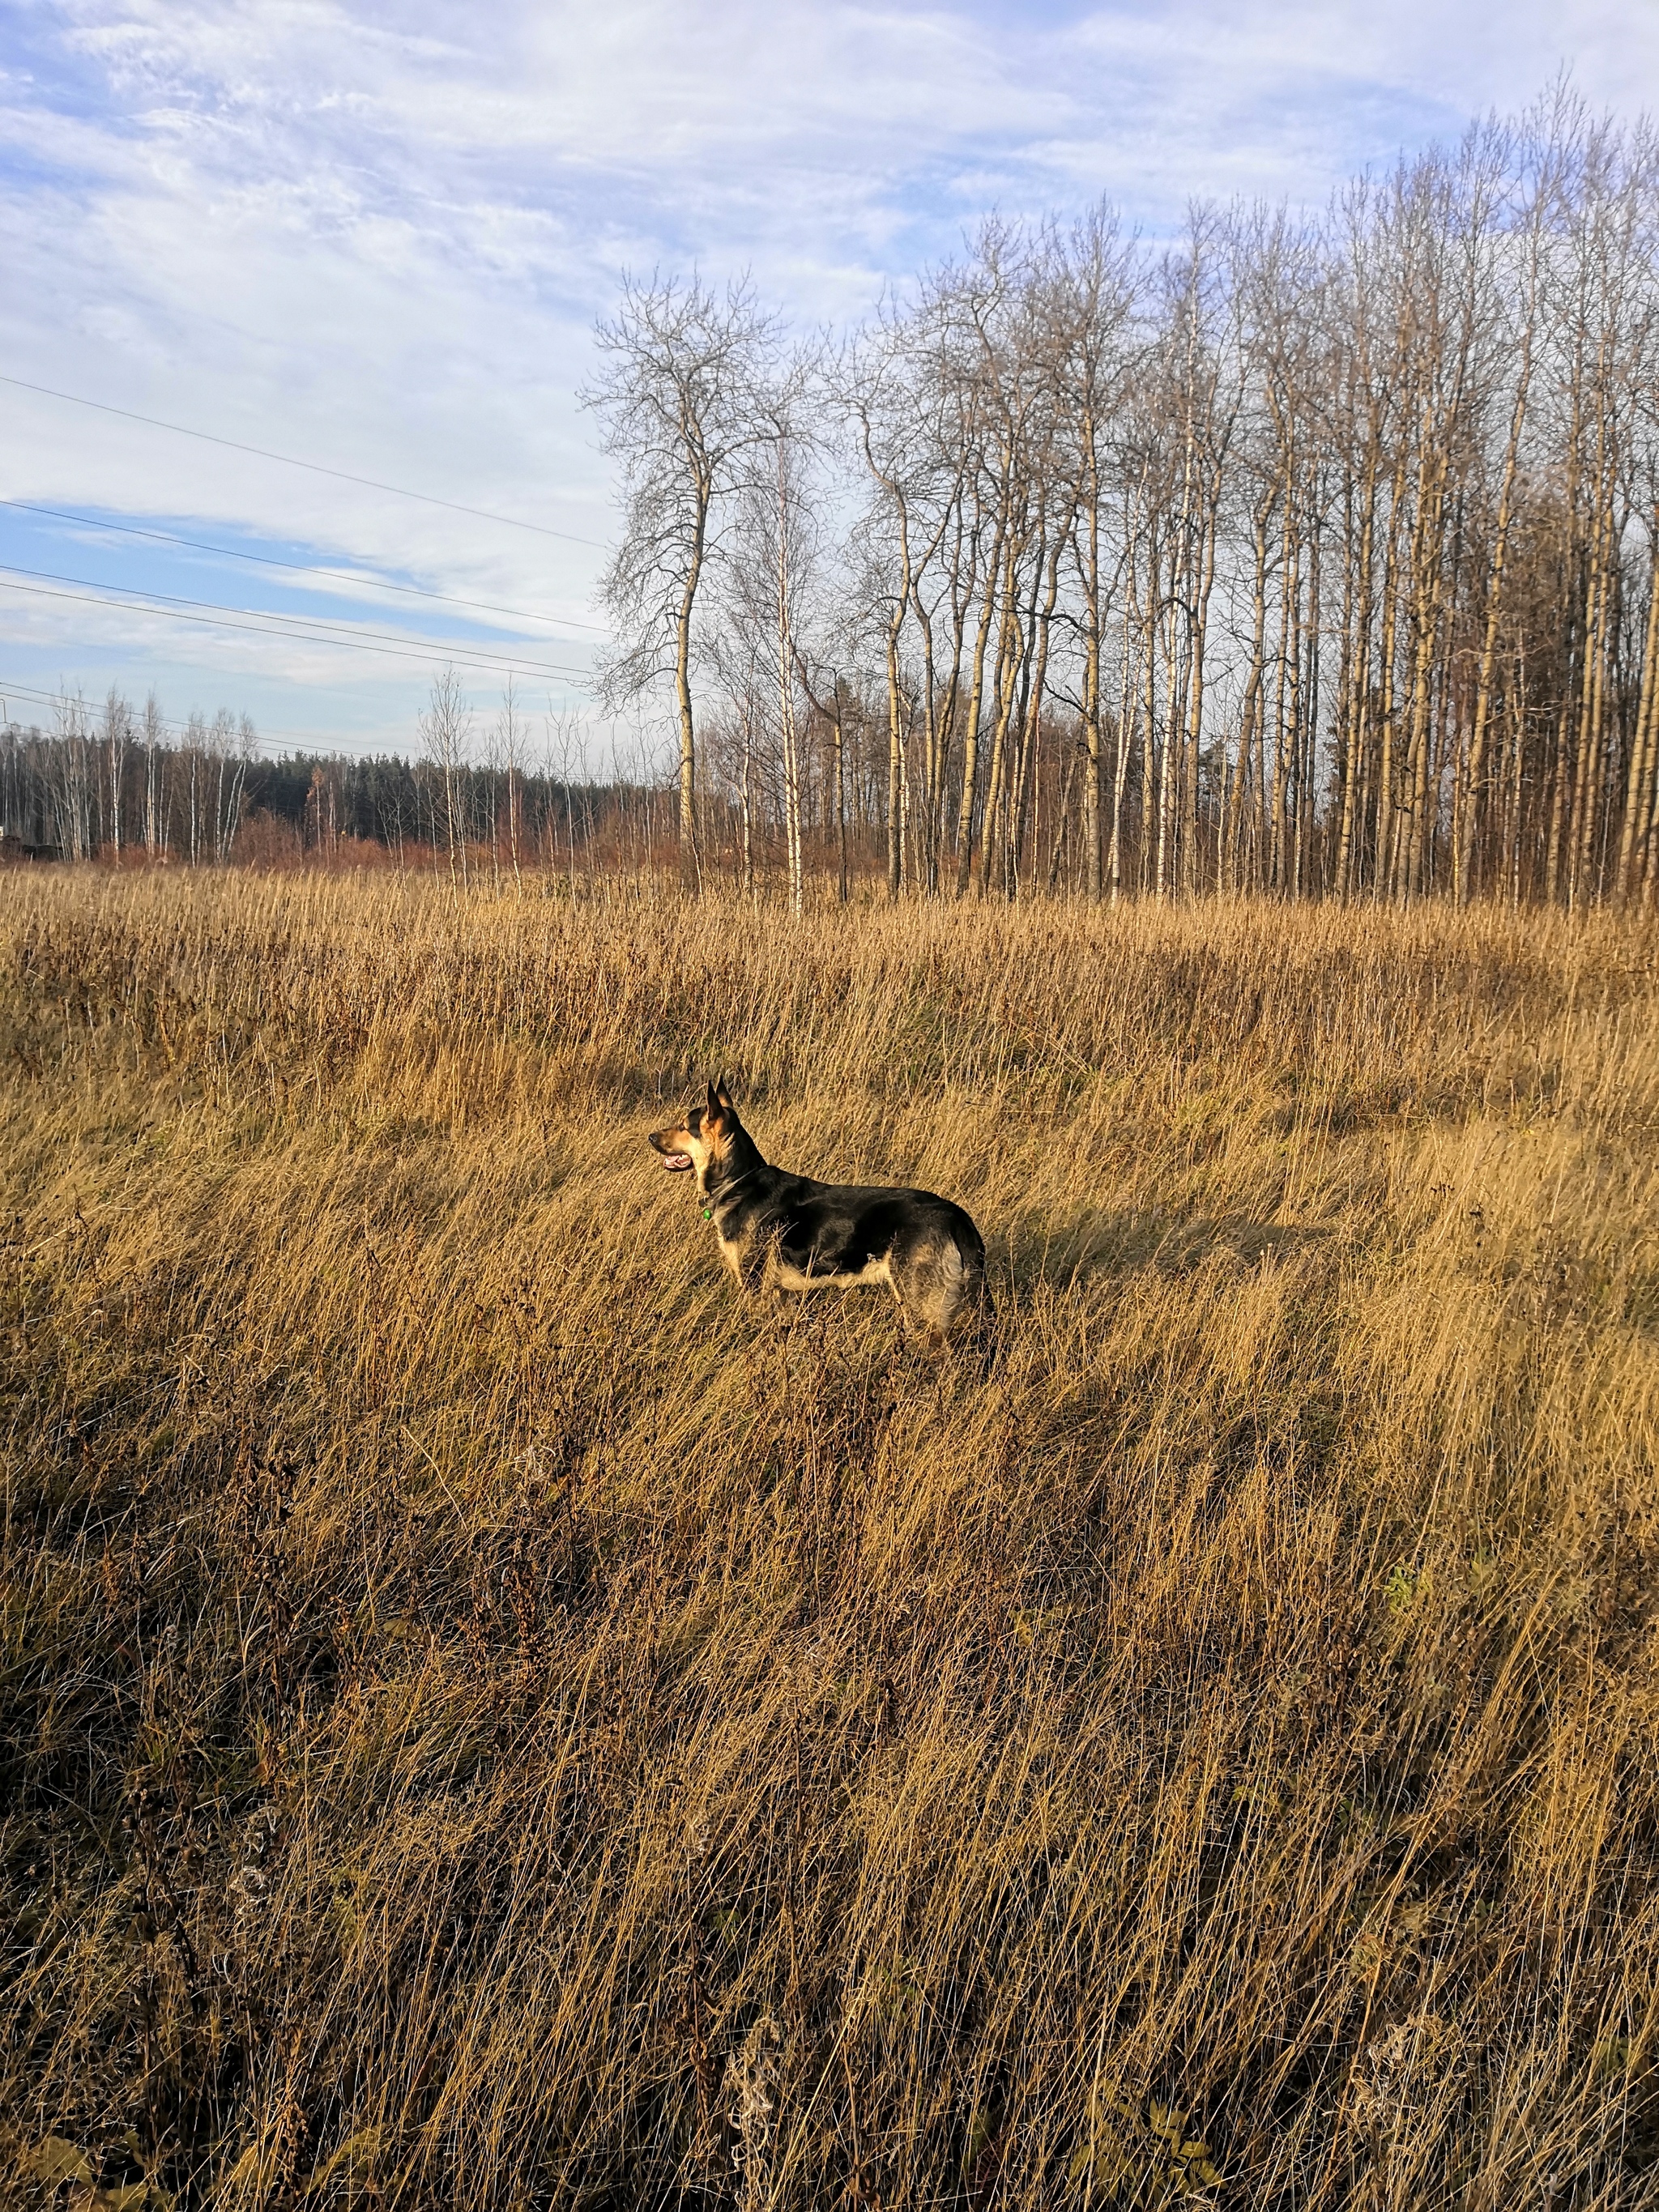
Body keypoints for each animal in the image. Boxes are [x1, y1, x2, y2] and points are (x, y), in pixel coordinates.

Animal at [646, 1079, 986, 1353]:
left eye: (683, 1126)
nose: (650, 1137)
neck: (739, 1181)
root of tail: (956, 1215)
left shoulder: (755, 1287)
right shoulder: (785, 1297)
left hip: (920, 1306)